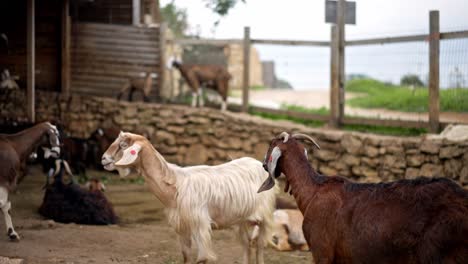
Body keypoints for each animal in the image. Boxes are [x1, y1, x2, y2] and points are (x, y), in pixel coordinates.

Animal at [101, 132, 276, 264]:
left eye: (123, 145)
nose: (103, 159)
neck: (176, 184)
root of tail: (256, 162)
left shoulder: (201, 225)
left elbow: (202, 259)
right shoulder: (182, 226)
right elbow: (185, 256)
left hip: (264, 217)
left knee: (260, 246)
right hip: (242, 219)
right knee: (247, 245)